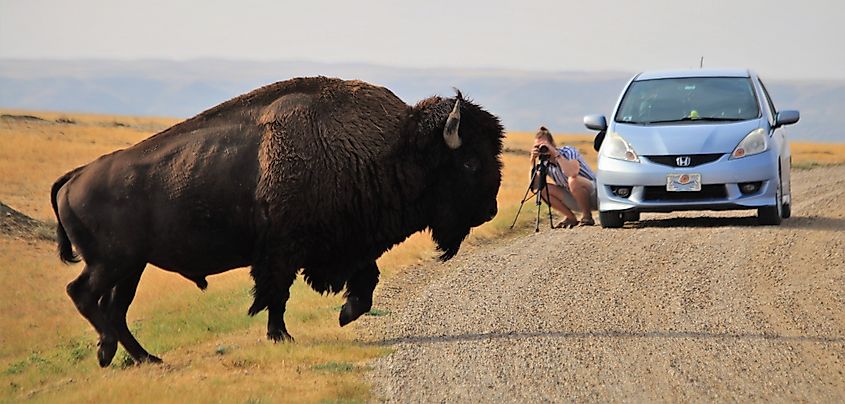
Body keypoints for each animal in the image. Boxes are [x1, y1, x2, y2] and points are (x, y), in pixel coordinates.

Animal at [51, 76, 502, 366]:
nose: (490, 210)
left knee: (115, 308)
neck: (394, 147)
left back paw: (144, 357)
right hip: (113, 264)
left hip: (131, 267)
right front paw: (283, 335)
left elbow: (365, 281)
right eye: (469, 161)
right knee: (83, 295)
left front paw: (345, 313)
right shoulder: (284, 251)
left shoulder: (350, 243)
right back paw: (108, 351)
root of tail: (75, 176)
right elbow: (276, 295)